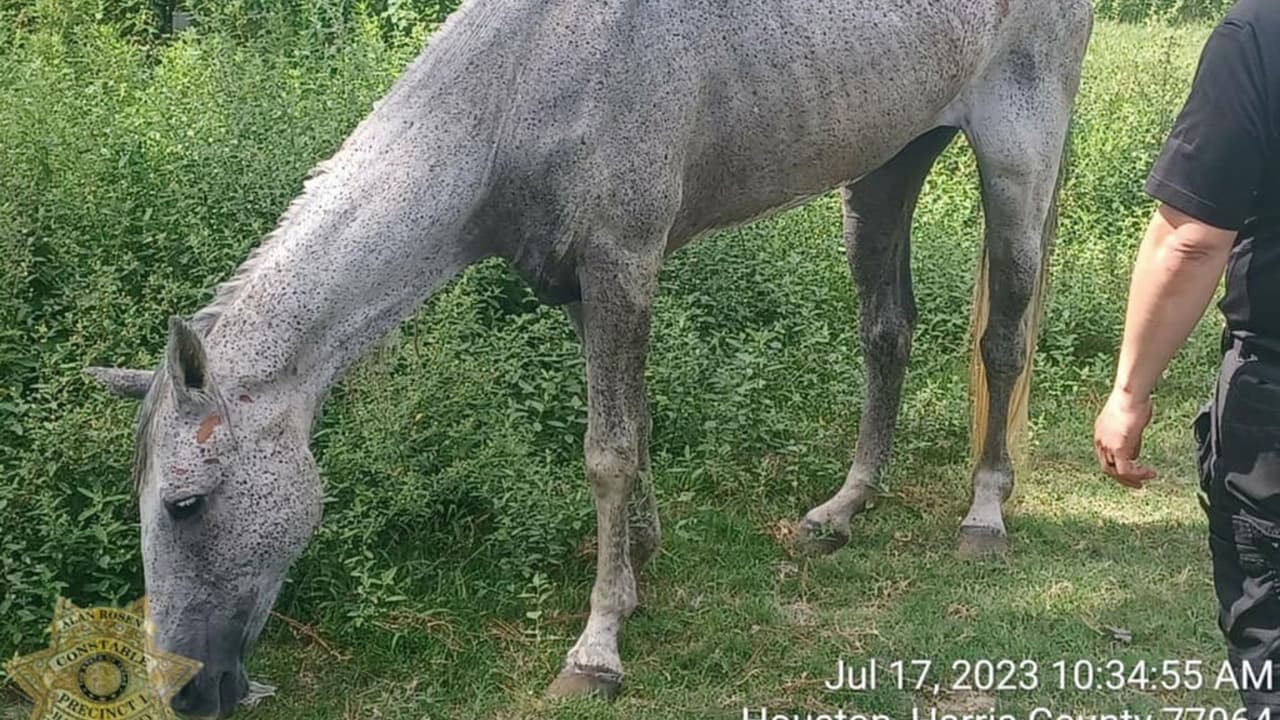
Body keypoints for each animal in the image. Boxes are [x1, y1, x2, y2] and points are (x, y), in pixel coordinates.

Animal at [86, 0, 1092, 714]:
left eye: (184, 504)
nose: (184, 693)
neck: (527, 80)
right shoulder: (581, 288)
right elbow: (633, 430)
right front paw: (639, 566)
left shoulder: (622, 265)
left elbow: (605, 452)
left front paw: (598, 647)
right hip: (887, 164)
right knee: (887, 333)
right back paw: (843, 507)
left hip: (1018, 159)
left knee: (1004, 337)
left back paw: (985, 514)